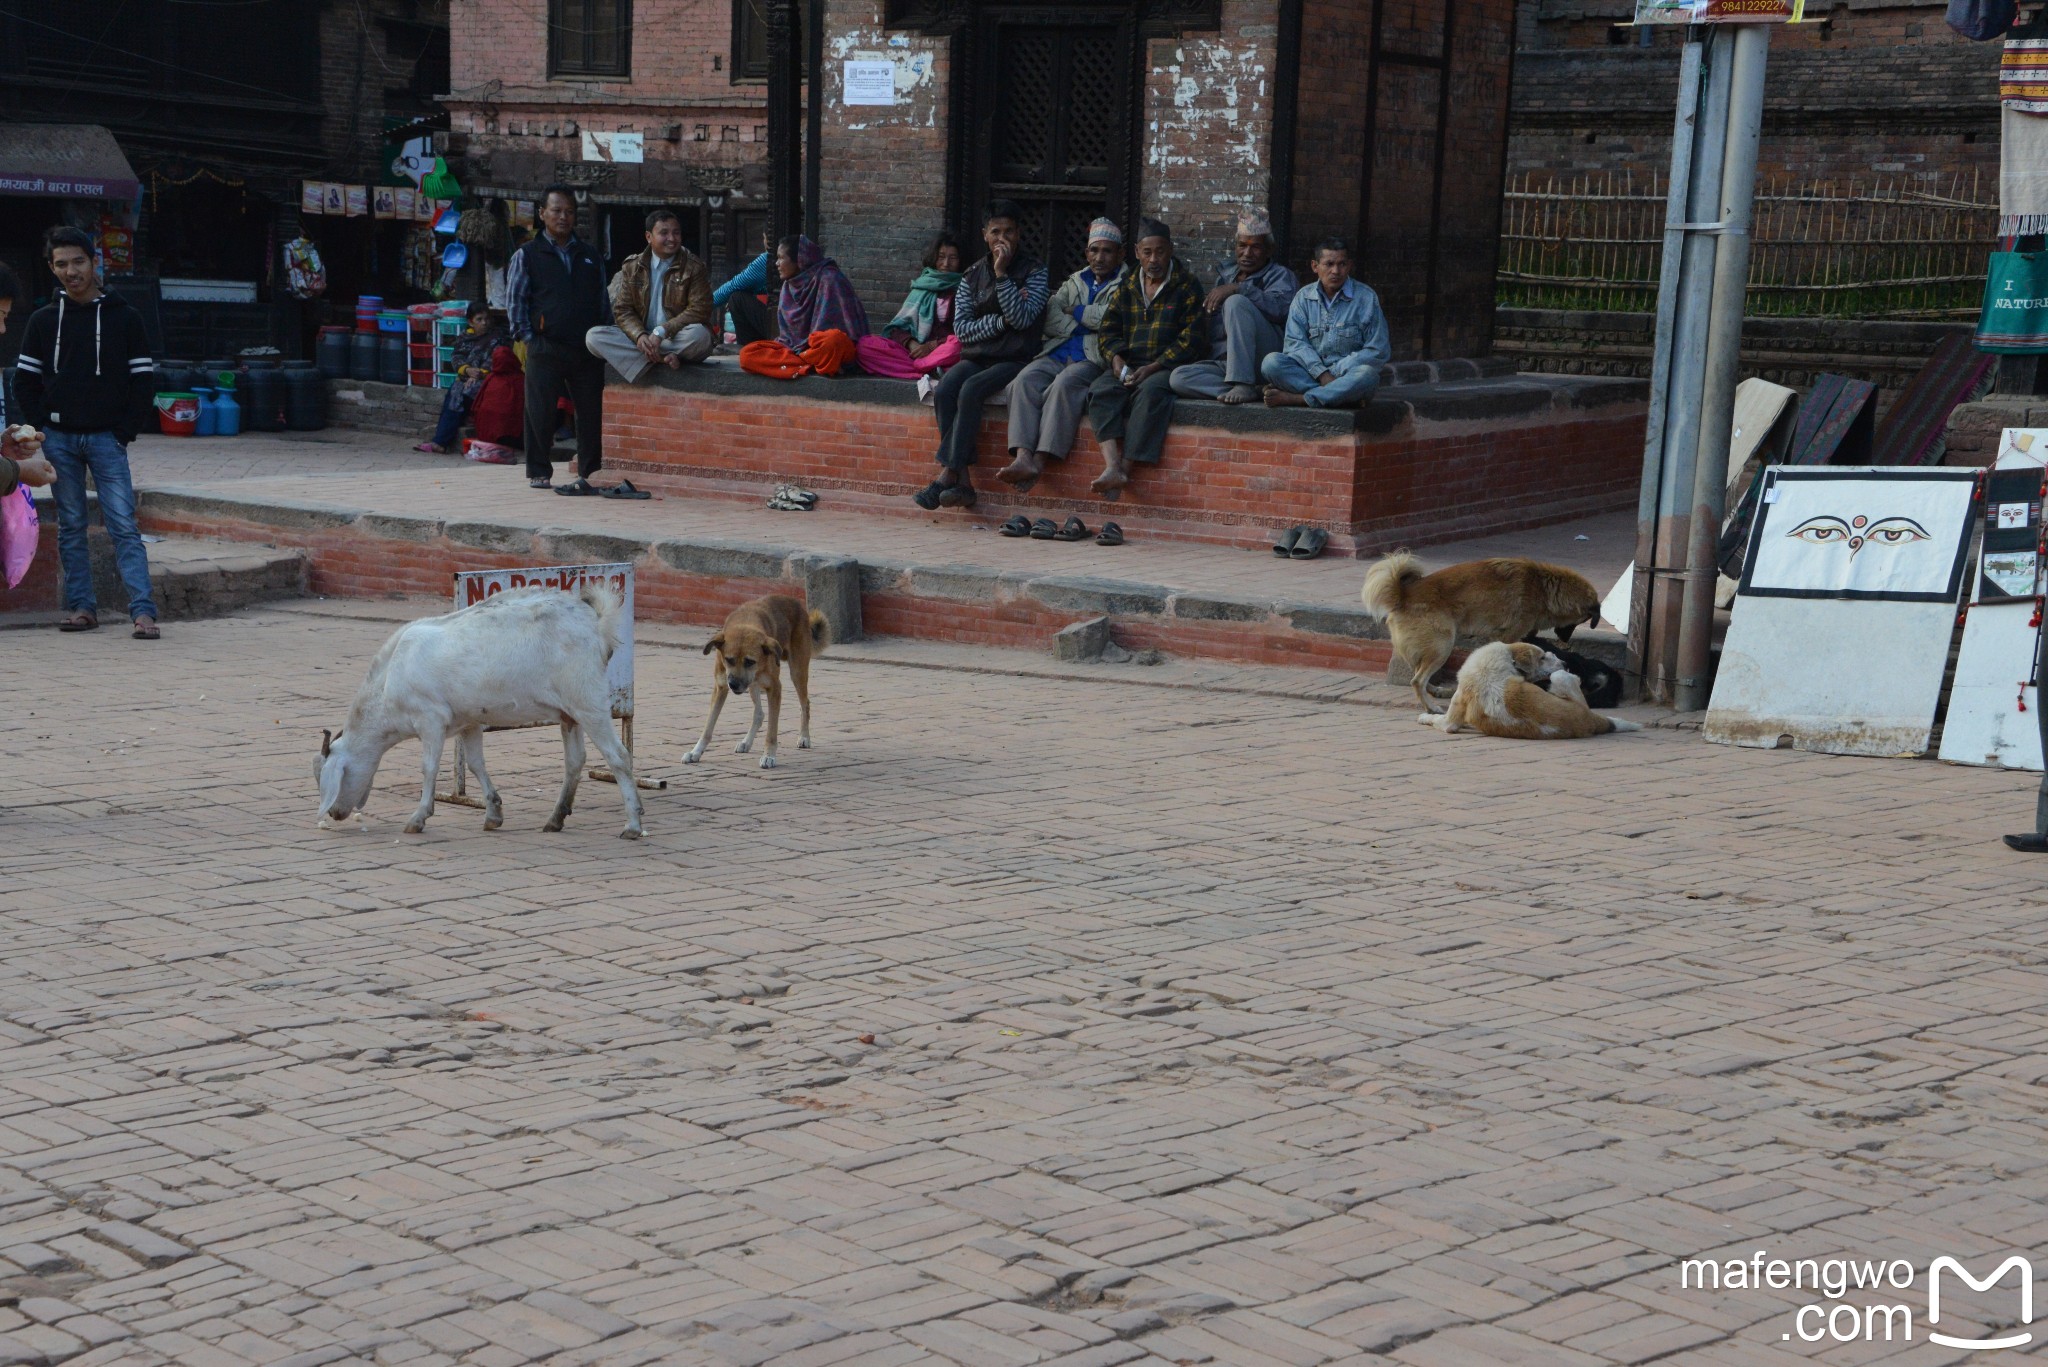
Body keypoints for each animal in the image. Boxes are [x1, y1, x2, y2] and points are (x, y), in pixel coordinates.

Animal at [313, 582, 638, 840]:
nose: (335, 814)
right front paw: (493, 814)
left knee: (618, 756)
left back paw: (633, 824)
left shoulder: (430, 720)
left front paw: (418, 818)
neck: (390, 679)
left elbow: (428, 767)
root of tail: (595, 623)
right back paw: (555, 819)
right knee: (575, 761)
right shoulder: (468, 721)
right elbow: (474, 764)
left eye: (327, 779)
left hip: (588, 700)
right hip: (569, 712)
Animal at [688, 594, 831, 774]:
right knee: (759, 714)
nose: (733, 684)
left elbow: (772, 731)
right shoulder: (720, 687)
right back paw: (746, 742)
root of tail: (795, 603)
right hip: (752, 685)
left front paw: (769, 756)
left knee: (805, 704)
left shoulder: (775, 688)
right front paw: (695, 751)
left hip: (797, 672)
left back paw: (804, 736)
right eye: (728, 659)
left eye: (750, 661)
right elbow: (708, 726)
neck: (746, 621)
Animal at [1368, 549, 1605, 713]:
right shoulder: (1508, 636)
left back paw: (1435, 691)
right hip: (1443, 645)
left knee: (1419, 674)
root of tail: (1403, 594)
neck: (1543, 587)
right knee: (1417, 680)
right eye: (1581, 621)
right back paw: (1430, 707)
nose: (1566, 641)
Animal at [1425, 643, 1646, 737]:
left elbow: (1438, 720)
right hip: (1560, 678)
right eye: (1542, 657)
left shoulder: (1450, 720)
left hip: (1560, 678)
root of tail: (1593, 721)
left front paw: (1425, 716)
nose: (1565, 662)